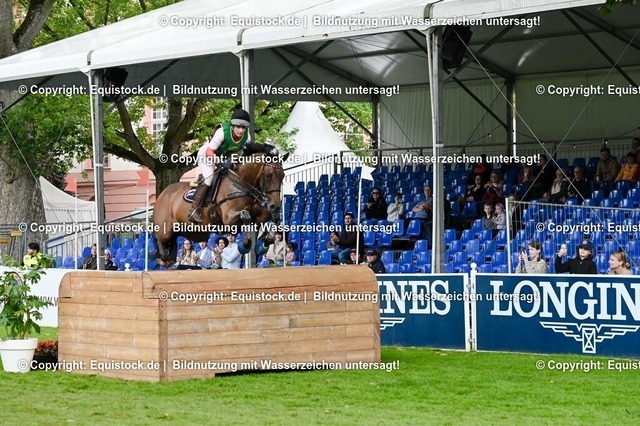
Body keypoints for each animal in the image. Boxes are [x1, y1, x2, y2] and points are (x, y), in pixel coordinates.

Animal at [153, 144, 288, 266]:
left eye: (282, 176)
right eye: (268, 175)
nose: (275, 205)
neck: (241, 184)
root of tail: (162, 194)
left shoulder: (259, 214)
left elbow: (268, 218)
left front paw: (267, 239)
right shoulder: (228, 219)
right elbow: (246, 215)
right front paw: (246, 243)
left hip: (187, 230)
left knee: (174, 240)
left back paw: (169, 258)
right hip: (165, 229)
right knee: (160, 238)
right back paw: (164, 258)